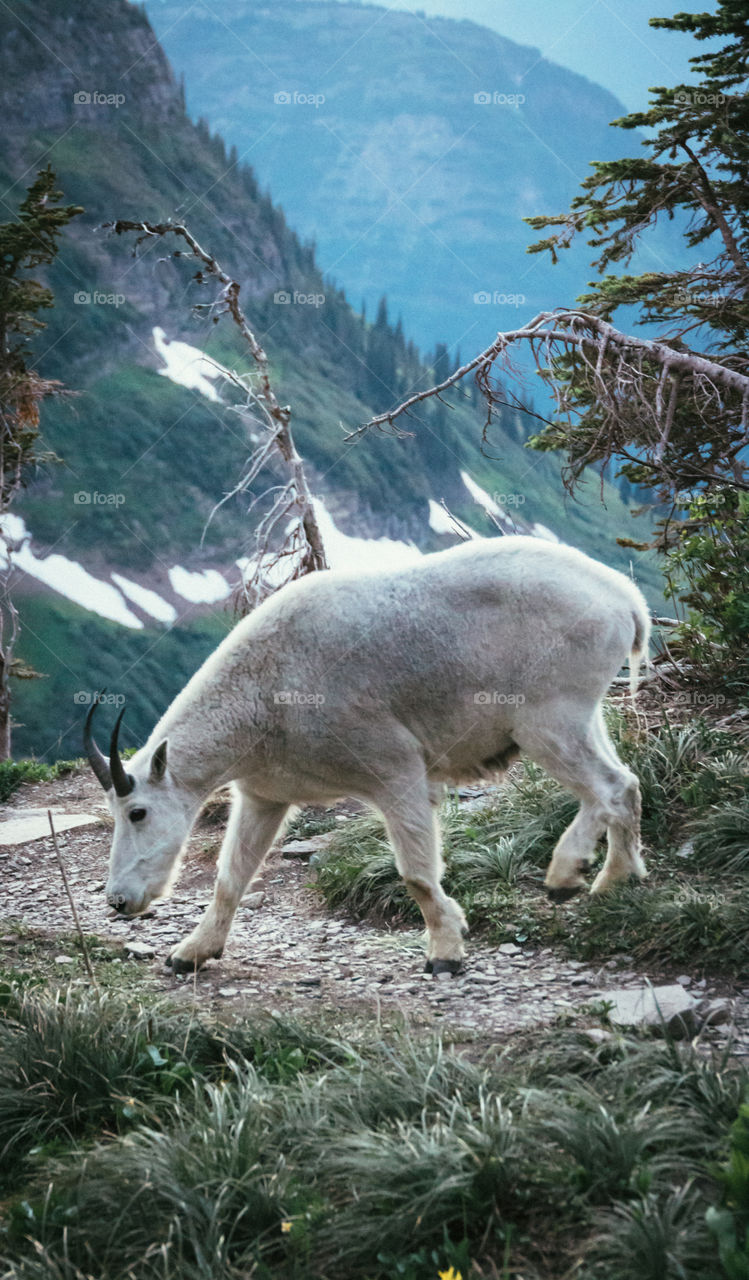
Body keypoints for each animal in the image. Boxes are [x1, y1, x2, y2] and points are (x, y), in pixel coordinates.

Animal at [83, 535, 647, 972]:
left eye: (137, 812)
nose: (118, 901)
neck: (264, 693)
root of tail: (626, 599)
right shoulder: (265, 796)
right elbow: (230, 877)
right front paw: (191, 953)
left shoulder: (395, 771)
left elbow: (416, 874)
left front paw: (446, 952)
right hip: (582, 716)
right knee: (626, 783)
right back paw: (618, 879)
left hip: (547, 719)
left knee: (606, 787)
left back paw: (566, 874)